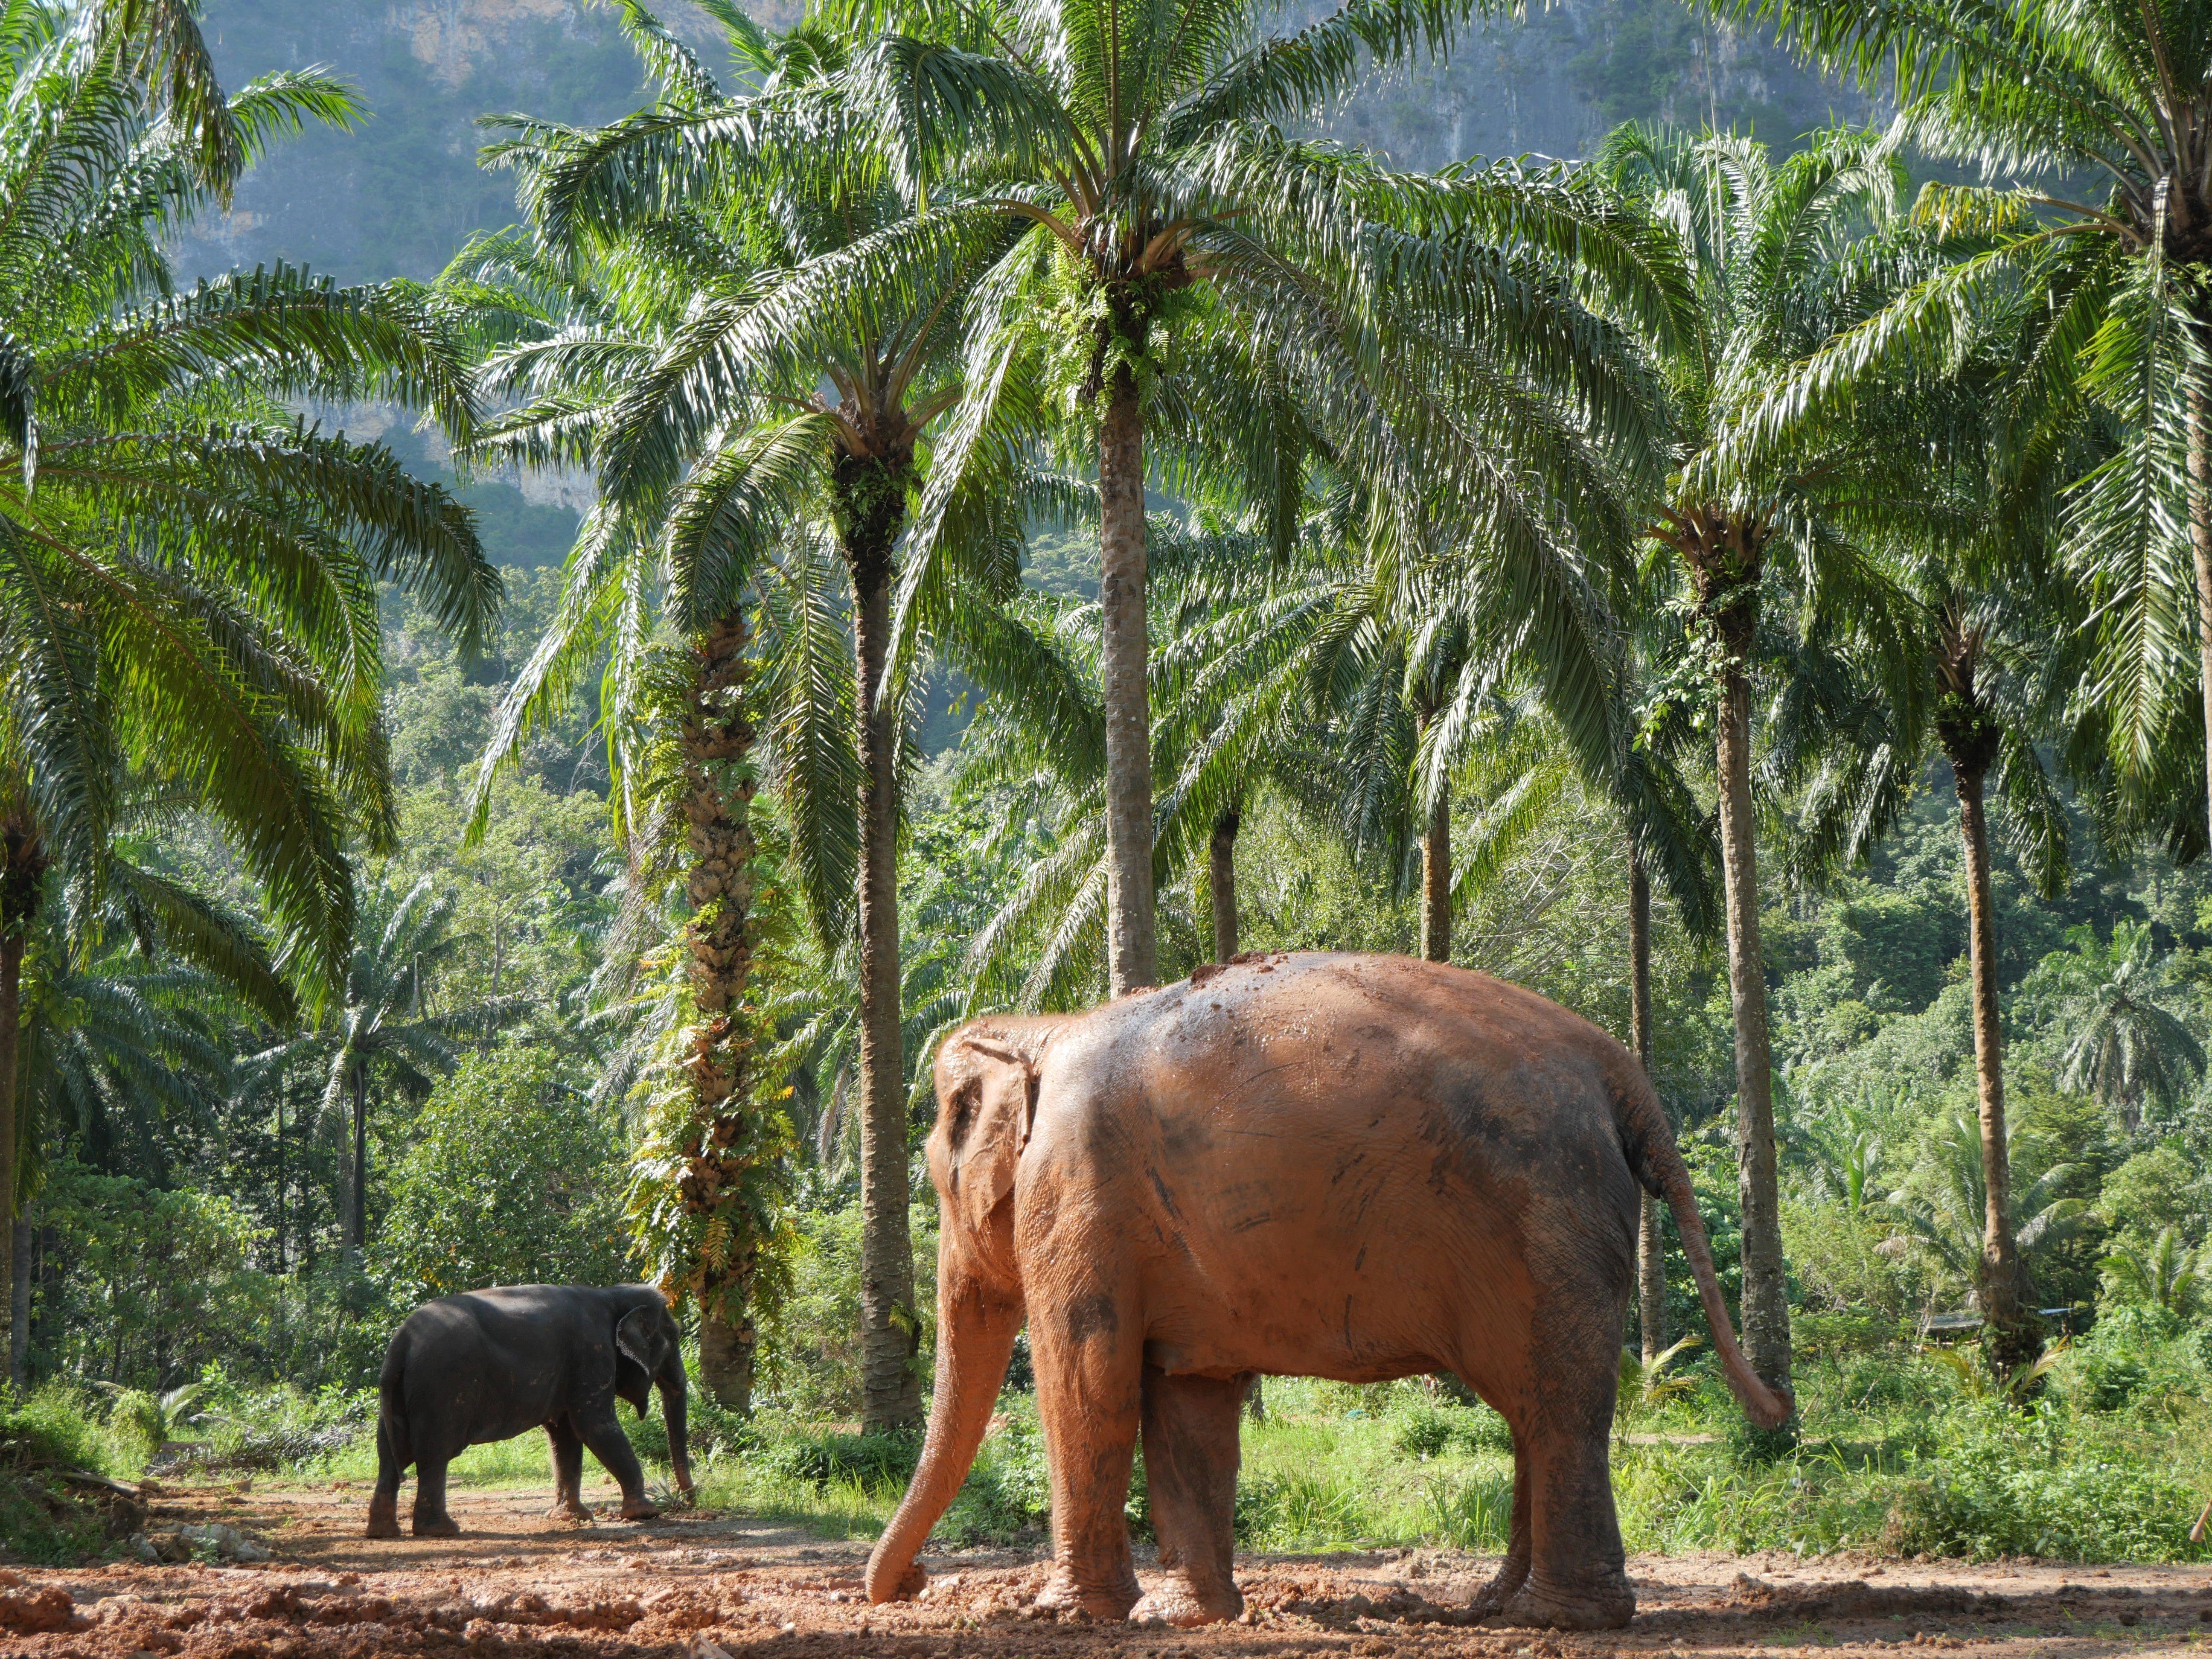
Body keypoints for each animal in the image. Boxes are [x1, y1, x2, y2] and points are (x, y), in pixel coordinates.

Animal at [366, 1283, 692, 1538]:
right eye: (674, 1339)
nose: (686, 1501)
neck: (613, 1293)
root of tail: (400, 1343)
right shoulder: (592, 1352)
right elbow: (595, 1425)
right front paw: (645, 1514)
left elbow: (566, 1435)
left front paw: (570, 1518)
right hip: (440, 1387)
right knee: (434, 1455)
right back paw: (442, 1531)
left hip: (401, 1394)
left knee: (388, 1457)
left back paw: (384, 1533)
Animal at [865, 952, 1790, 1631]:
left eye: (939, 1171)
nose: (907, 1584)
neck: (1045, 1028)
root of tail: (1619, 1071)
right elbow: (1188, 1400)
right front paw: (1186, 1618)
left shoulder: (1078, 1193)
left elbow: (1088, 1382)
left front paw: (1069, 1616)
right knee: (1540, 1409)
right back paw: (1495, 1607)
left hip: (1547, 1215)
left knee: (1556, 1402)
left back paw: (1556, 1620)